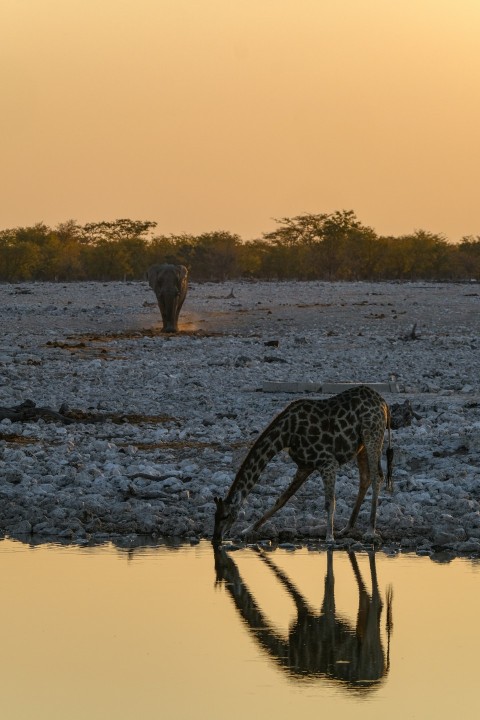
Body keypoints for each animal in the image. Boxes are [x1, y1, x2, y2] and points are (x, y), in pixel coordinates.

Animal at [212, 386, 392, 544]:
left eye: (225, 515)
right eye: (215, 515)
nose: (216, 538)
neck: (285, 435)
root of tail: (384, 403)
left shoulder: (328, 463)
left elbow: (329, 502)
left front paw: (329, 537)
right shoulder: (305, 466)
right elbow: (282, 499)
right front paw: (248, 529)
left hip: (373, 435)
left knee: (377, 477)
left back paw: (370, 531)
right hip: (361, 444)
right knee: (365, 478)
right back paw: (347, 528)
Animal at [215, 544, 394, 692]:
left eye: (222, 568)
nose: (218, 538)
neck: (287, 653)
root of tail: (382, 672)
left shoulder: (319, 620)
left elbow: (326, 580)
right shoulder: (305, 613)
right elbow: (287, 582)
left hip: (369, 635)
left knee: (375, 600)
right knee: (371, 603)